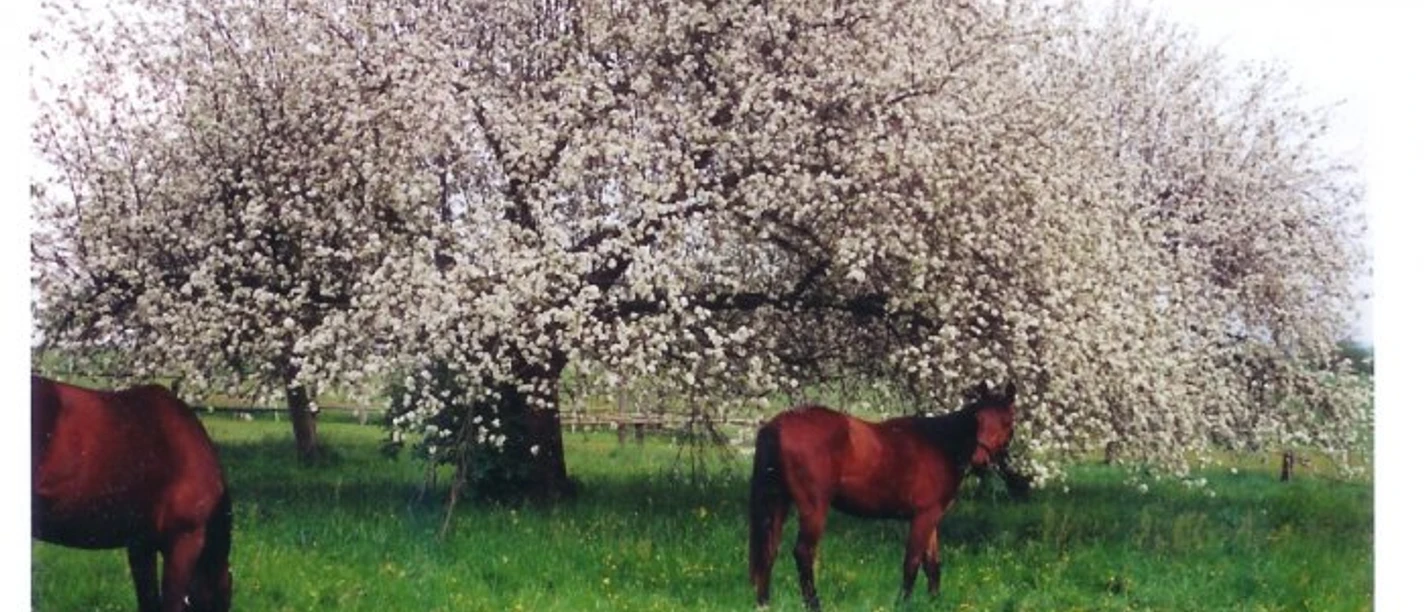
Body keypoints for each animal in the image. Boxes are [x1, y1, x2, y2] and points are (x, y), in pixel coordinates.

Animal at [748, 382, 1017, 610]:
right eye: (979, 419)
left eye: (1005, 421)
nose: (980, 461)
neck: (940, 444)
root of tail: (777, 425)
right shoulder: (923, 516)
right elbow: (912, 563)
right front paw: (903, 603)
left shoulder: (931, 519)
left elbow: (932, 566)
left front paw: (934, 602)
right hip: (813, 508)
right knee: (804, 553)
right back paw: (814, 604)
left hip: (778, 503)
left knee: (769, 550)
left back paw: (764, 603)